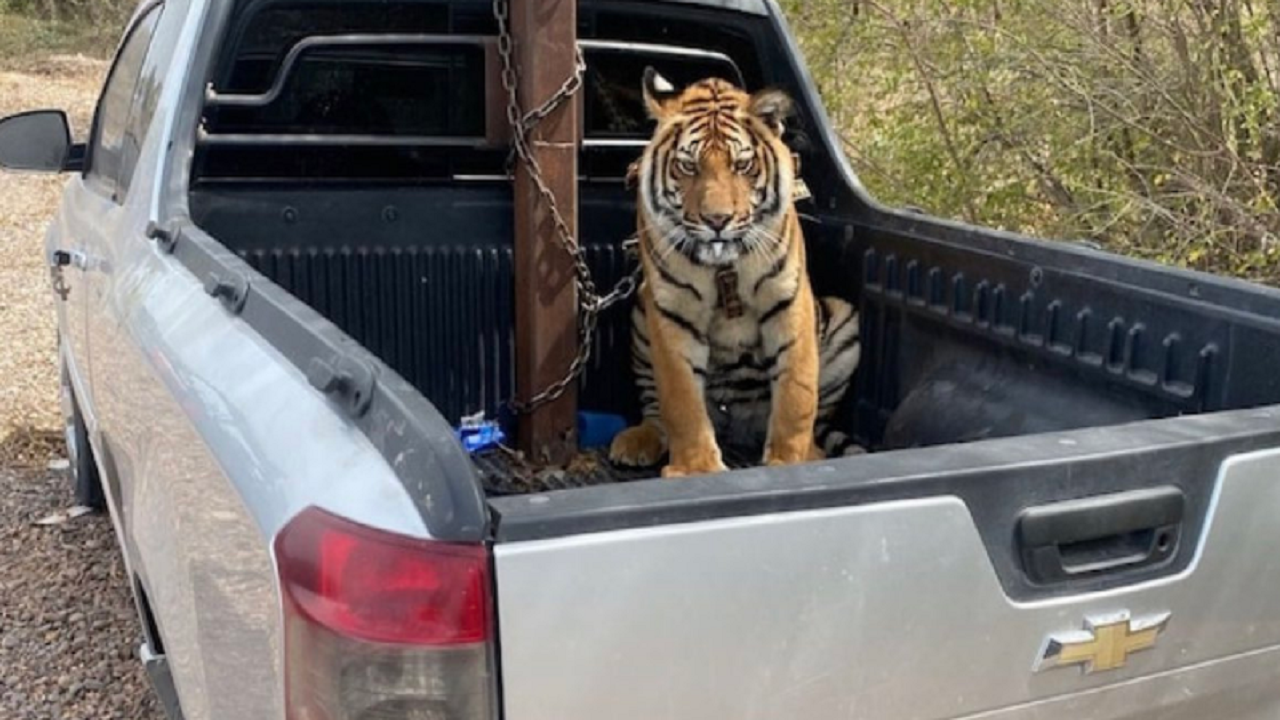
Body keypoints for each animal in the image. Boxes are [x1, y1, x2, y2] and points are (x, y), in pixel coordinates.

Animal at [606, 68, 860, 476]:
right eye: (688, 166)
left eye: (742, 165)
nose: (717, 221)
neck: (723, 264)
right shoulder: (671, 310)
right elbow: (680, 401)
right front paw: (696, 469)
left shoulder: (788, 300)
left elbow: (797, 395)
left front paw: (789, 461)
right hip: (642, 314)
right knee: (656, 411)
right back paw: (638, 441)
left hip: (844, 318)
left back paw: (814, 452)